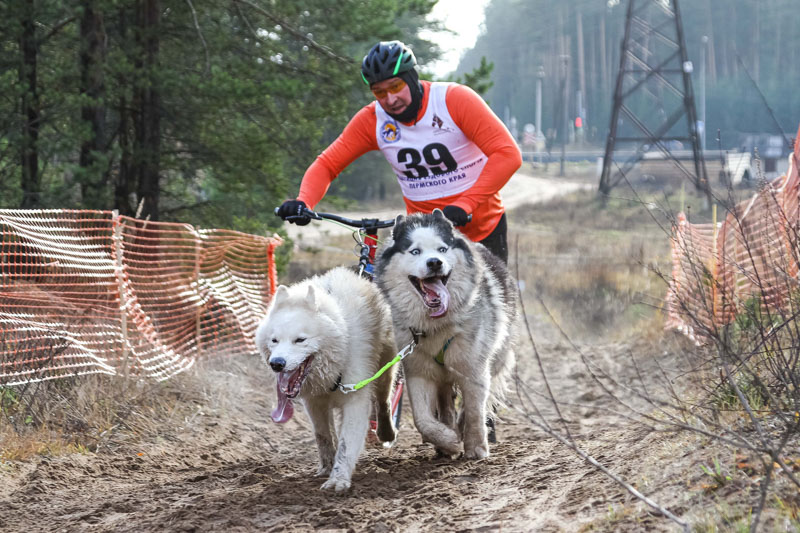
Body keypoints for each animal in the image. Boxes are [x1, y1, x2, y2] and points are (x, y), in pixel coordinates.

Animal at [256, 266, 396, 490]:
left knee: (384, 401)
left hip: (386, 368)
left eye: (300, 340)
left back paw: (386, 433)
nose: (277, 363)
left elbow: (346, 444)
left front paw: (338, 479)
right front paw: (327, 468)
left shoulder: (355, 400)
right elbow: (323, 436)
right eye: (274, 340)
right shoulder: (314, 403)